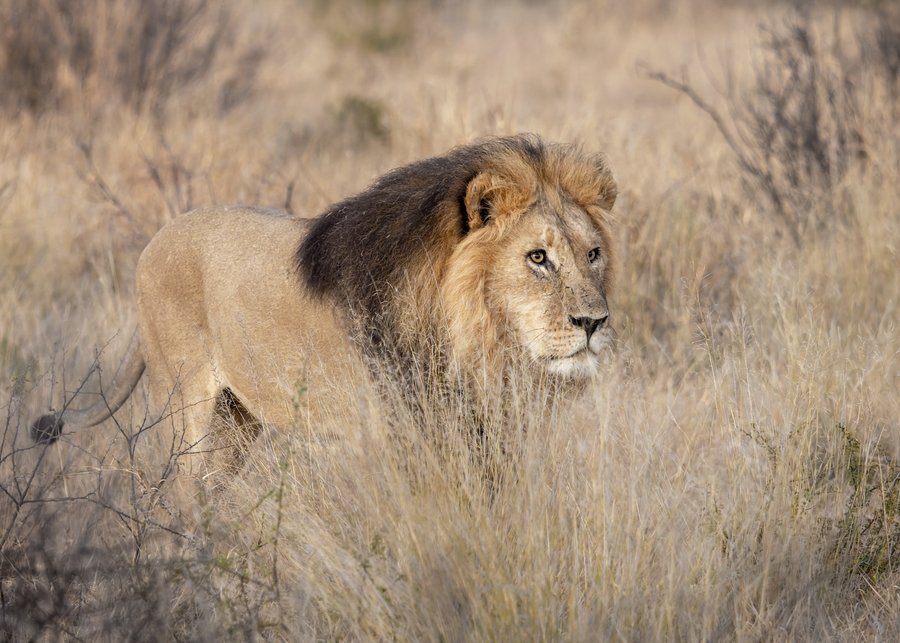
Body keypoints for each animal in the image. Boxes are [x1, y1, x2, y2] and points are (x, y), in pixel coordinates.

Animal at [31, 134, 619, 477]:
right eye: (537, 257)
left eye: (592, 254)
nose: (593, 322)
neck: (473, 339)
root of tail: (155, 238)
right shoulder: (385, 435)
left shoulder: (478, 432)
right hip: (186, 407)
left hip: (238, 419)